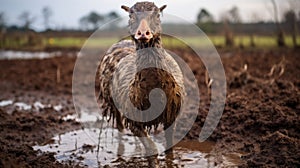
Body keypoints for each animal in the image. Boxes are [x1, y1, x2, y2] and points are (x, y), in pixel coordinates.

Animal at [97, 1, 184, 167]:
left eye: (157, 14)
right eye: (131, 15)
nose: (143, 33)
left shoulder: (171, 115)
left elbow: (169, 147)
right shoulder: (134, 119)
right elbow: (152, 148)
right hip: (114, 103)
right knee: (120, 127)